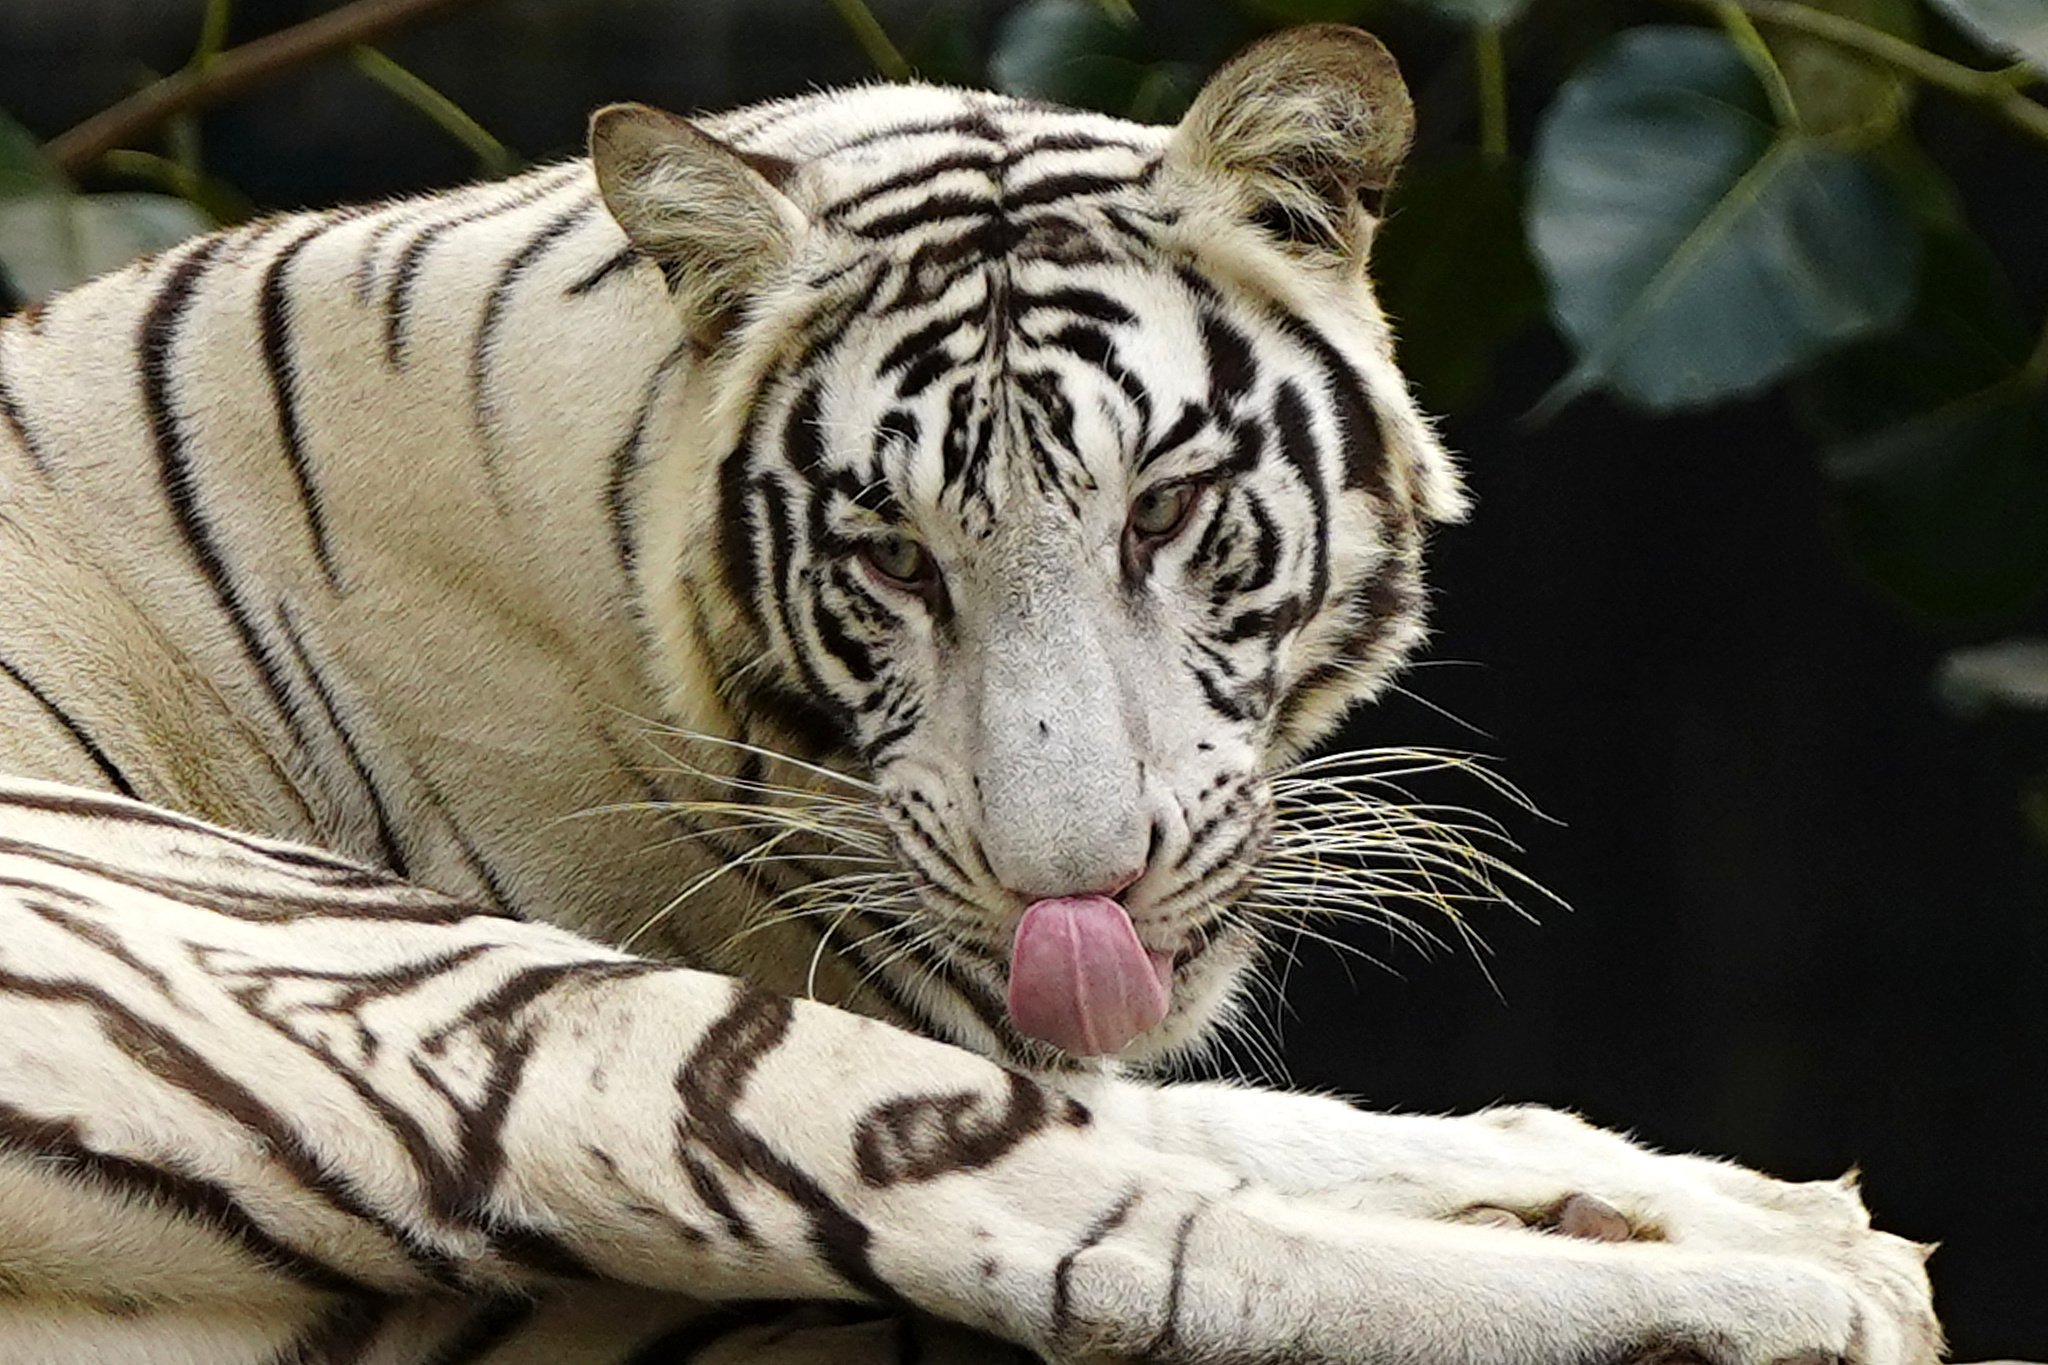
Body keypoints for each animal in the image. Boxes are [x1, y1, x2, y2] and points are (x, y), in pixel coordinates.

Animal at [0, 22, 1940, 1365]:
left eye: (1164, 509)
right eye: (889, 560)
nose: (1072, 888)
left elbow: (1191, 1098)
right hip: (413, 975)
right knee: (1120, 1242)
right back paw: (1778, 1304)